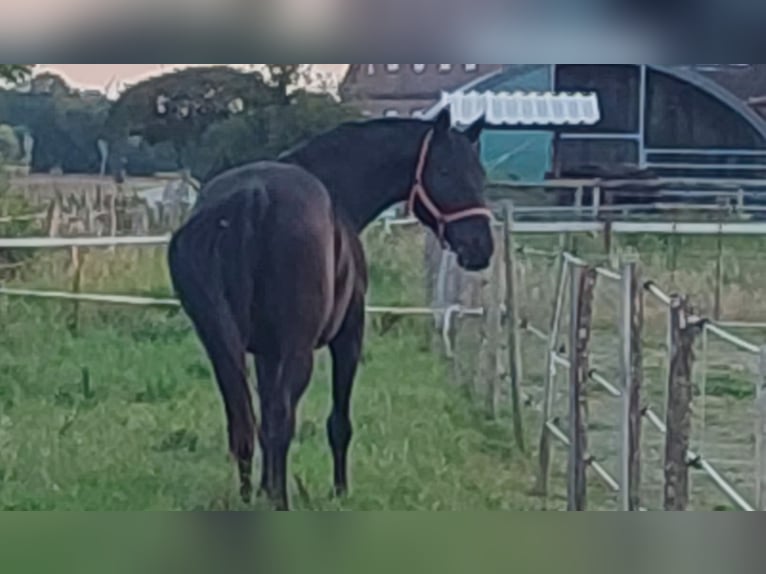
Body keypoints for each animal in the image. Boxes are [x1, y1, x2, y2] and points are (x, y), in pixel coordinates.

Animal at [168, 109, 494, 510]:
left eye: (480, 174)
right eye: (446, 171)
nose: (480, 246)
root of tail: (254, 196)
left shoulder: (265, 353)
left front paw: (264, 488)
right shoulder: (348, 336)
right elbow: (338, 423)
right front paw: (338, 492)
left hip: (221, 346)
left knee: (243, 423)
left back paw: (249, 498)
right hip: (298, 350)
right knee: (280, 422)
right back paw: (282, 502)